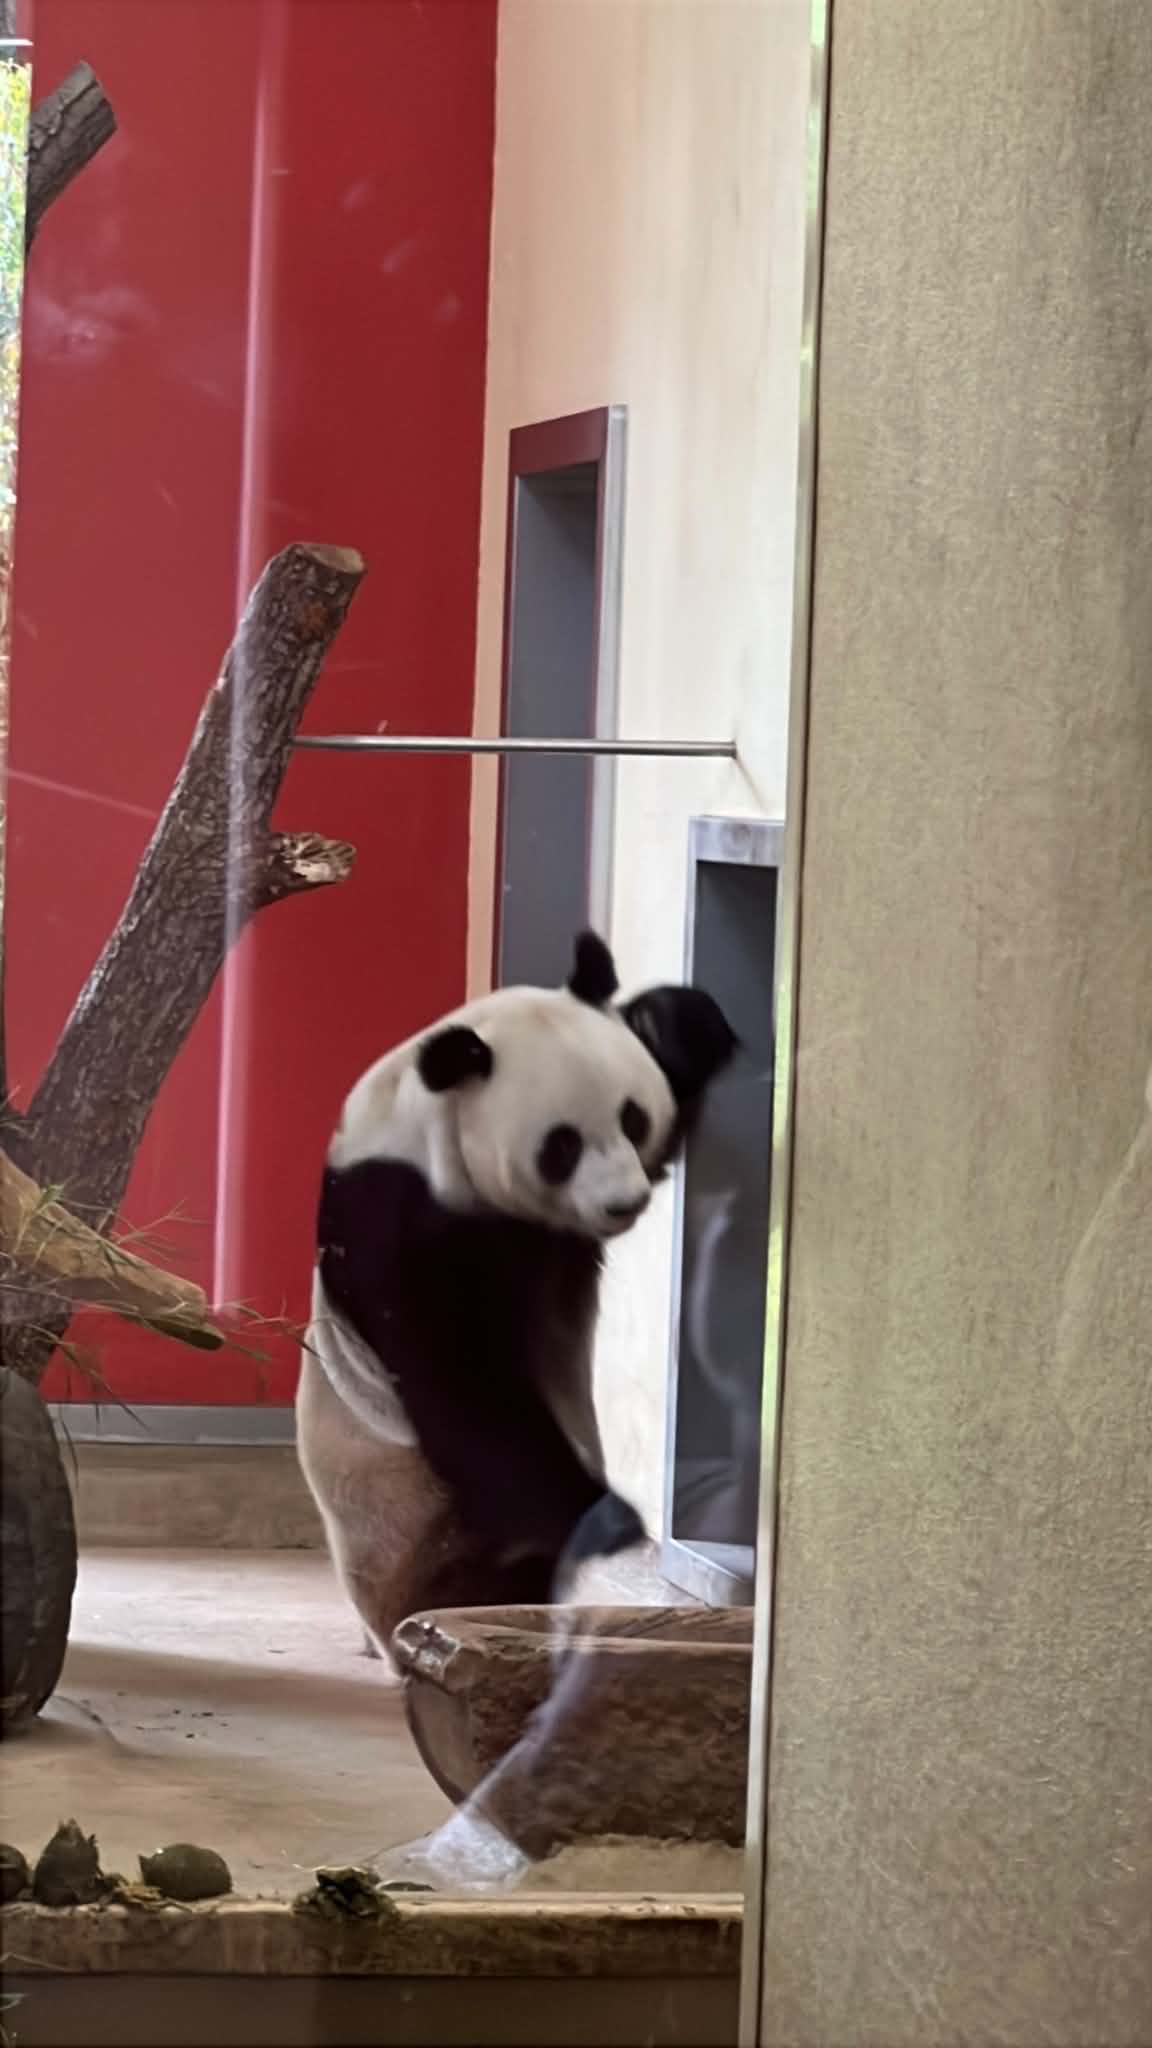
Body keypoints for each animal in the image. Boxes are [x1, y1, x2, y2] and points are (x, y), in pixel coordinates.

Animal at [296, 930, 737, 1665]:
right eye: (562, 1145)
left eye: (632, 1118)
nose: (624, 1201)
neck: (424, 1121)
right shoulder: (397, 1220)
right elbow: (459, 1380)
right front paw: (609, 1517)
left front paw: (684, 1022)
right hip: (414, 1515)